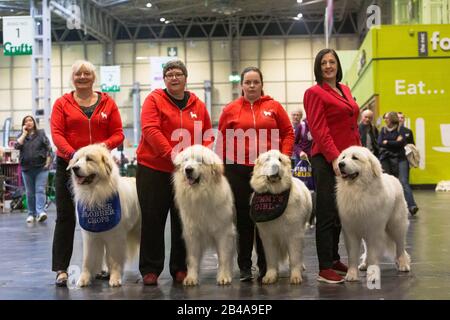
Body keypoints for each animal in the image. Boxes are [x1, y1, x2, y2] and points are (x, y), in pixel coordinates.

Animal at [68, 145, 141, 288]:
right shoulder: (90, 236)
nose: (75, 168)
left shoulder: (115, 237)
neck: (95, 194)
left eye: (89, 159)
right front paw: (84, 279)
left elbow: (114, 259)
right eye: (77, 160)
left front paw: (115, 278)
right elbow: (88, 260)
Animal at [172, 144, 236, 284]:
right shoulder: (192, 233)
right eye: (186, 160)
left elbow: (223, 256)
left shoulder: (223, 231)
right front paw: (191, 278)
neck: (200, 194)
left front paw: (224, 276)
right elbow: (193, 258)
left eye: (199, 160)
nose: (188, 170)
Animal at [250, 150, 312, 284]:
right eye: (267, 159)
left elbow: (294, 257)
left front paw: (295, 276)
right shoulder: (268, 237)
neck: (274, 193)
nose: (275, 166)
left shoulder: (294, 234)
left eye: (280, 160)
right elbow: (271, 259)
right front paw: (270, 276)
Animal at [334, 146, 412, 284]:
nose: (340, 164)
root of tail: (393, 177)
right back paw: (364, 264)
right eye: (343, 157)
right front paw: (351, 275)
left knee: (400, 246)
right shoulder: (351, 231)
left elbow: (373, 254)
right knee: (367, 248)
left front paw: (373, 275)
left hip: (396, 225)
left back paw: (403, 264)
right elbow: (352, 255)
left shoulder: (374, 231)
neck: (358, 192)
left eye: (355, 158)